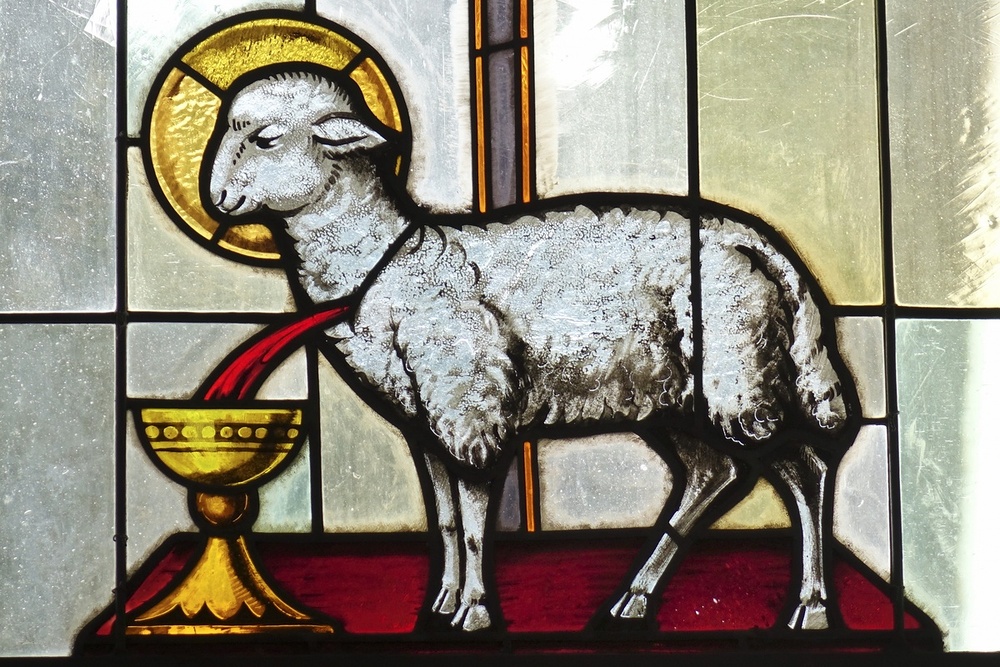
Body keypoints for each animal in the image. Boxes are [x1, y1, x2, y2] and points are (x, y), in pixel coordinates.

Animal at [203, 67, 859, 633]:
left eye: (264, 138)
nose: (218, 198)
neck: (391, 260)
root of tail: (762, 245)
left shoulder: (469, 403)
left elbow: (472, 522)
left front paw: (473, 611)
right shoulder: (425, 419)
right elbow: (445, 520)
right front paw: (441, 603)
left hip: (738, 372)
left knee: (806, 468)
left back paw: (811, 607)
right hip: (674, 388)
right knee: (714, 472)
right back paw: (634, 598)